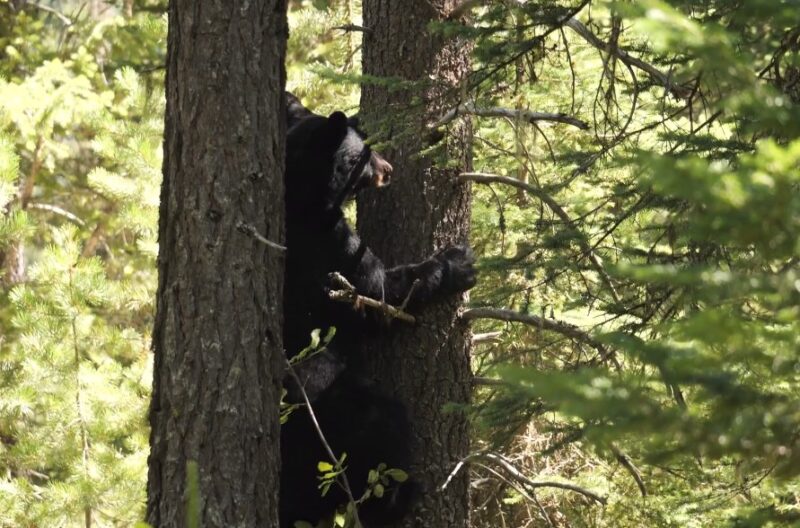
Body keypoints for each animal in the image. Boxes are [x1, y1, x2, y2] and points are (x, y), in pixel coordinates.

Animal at [280, 95, 472, 528]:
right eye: (364, 155)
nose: (388, 169)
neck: (301, 192)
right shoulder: (327, 244)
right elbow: (379, 293)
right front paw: (457, 262)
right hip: (335, 407)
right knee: (382, 426)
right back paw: (401, 496)